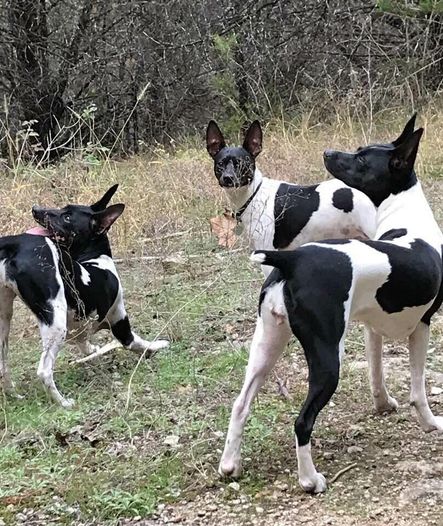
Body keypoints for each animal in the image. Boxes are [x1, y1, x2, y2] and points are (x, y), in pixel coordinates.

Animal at [0, 188, 168, 410]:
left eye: (67, 216)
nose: (35, 208)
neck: (95, 258)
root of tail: (16, 242)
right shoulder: (120, 322)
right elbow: (137, 342)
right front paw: (156, 346)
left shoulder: (80, 331)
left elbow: (85, 344)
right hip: (55, 324)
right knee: (44, 371)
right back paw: (63, 402)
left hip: (4, 319)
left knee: (3, 366)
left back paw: (13, 395)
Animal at [219, 116, 443, 496]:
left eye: (362, 158)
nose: (327, 152)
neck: (407, 218)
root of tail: (292, 259)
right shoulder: (423, 326)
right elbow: (418, 390)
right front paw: (430, 423)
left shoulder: (372, 329)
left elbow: (377, 374)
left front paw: (383, 405)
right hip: (326, 359)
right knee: (302, 421)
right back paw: (310, 480)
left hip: (267, 345)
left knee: (240, 403)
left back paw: (230, 464)